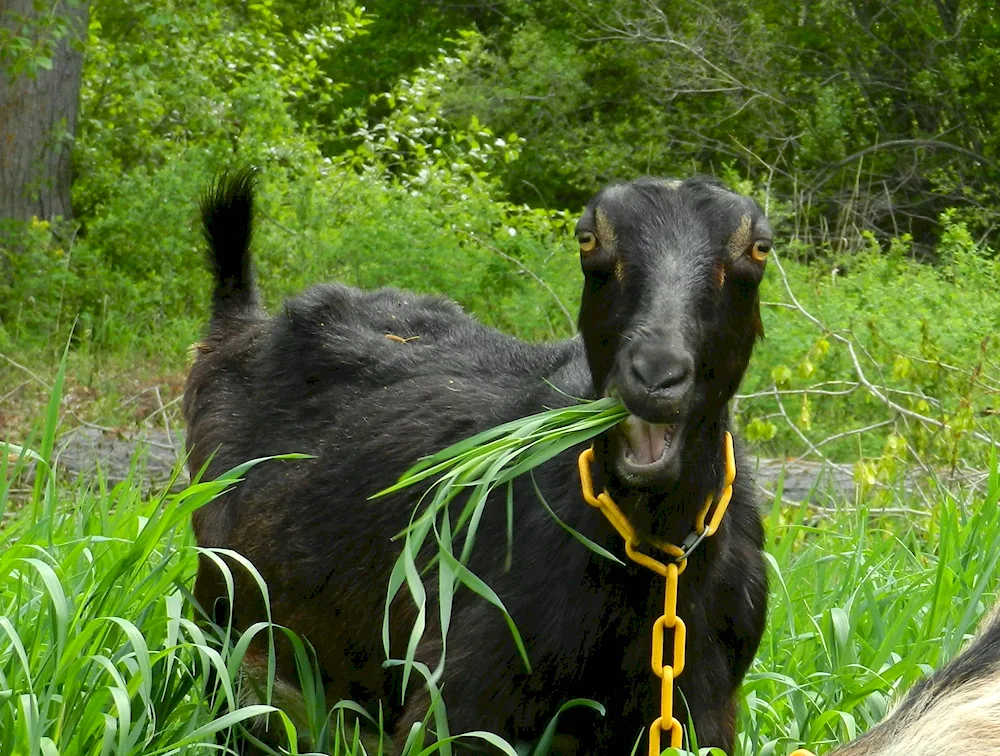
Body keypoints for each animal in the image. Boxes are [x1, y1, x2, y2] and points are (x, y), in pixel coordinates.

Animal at [182, 173, 772, 756]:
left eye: (759, 249)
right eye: (588, 239)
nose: (656, 373)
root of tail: (243, 327)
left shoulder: (703, 708)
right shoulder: (462, 703)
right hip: (226, 625)